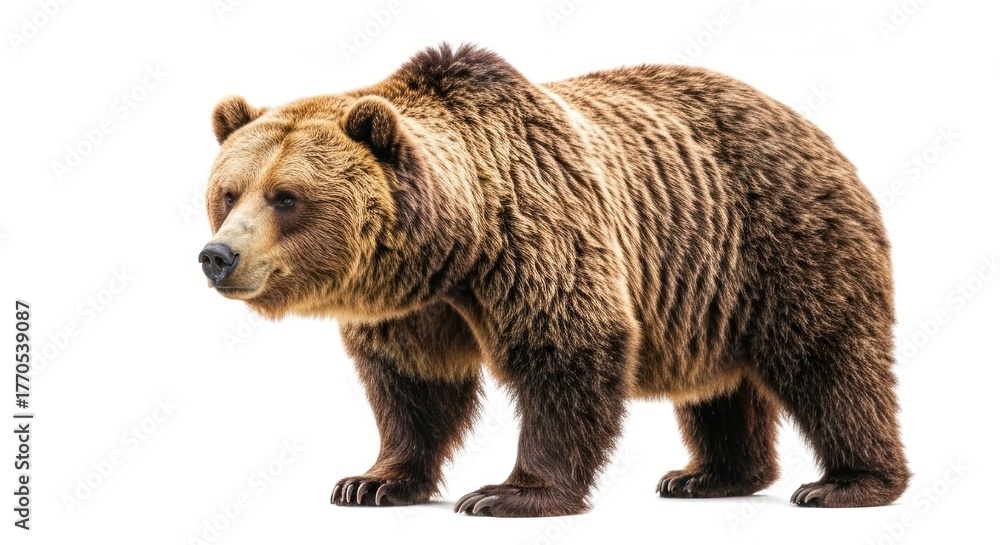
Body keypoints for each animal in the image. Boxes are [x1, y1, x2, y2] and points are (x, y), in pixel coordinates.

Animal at [199, 44, 909, 517]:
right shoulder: (412, 306)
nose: (217, 256)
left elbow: (567, 349)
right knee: (718, 387)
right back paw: (708, 476)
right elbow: (412, 384)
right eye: (228, 192)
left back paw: (846, 482)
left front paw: (508, 493)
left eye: (286, 197)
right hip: (708, 289)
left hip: (781, 241)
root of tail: (812, 127)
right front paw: (371, 481)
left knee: (831, 361)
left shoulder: (538, 235)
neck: (454, 247)